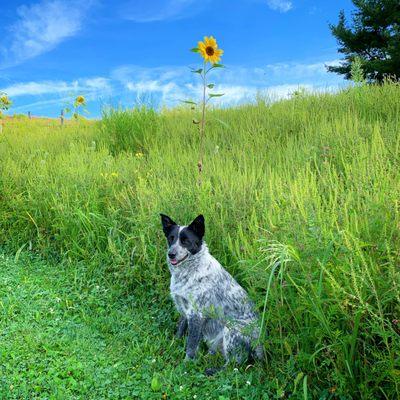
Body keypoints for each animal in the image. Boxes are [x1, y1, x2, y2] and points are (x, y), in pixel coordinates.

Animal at [161, 214, 264, 374]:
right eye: (171, 238)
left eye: (185, 241)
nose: (171, 253)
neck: (189, 272)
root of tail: (260, 349)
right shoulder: (185, 310)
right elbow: (180, 330)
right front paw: (173, 345)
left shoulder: (196, 314)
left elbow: (191, 345)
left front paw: (186, 364)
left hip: (232, 329)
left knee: (234, 365)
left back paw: (211, 371)